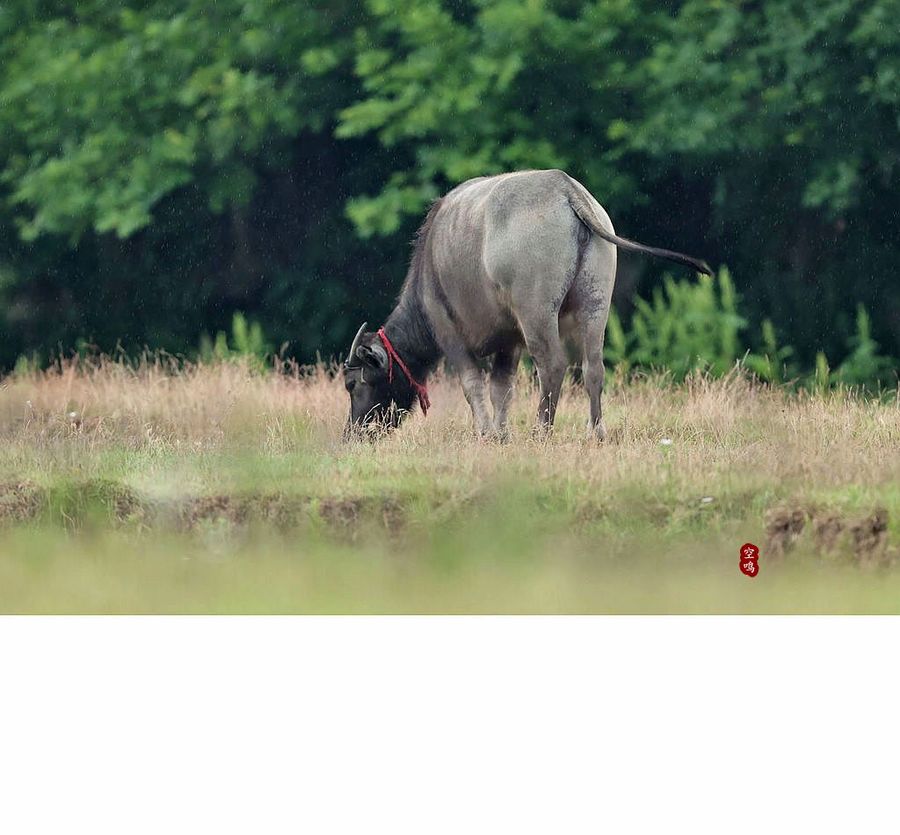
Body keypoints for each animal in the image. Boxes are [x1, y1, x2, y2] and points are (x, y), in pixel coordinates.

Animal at [344, 171, 712, 444]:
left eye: (353, 384)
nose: (353, 434)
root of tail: (566, 189)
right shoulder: (509, 341)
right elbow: (502, 388)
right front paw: (502, 433)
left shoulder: (449, 331)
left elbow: (473, 384)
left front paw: (486, 433)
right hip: (596, 301)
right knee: (593, 366)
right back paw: (596, 432)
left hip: (536, 310)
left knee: (552, 365)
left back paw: (541, 432)